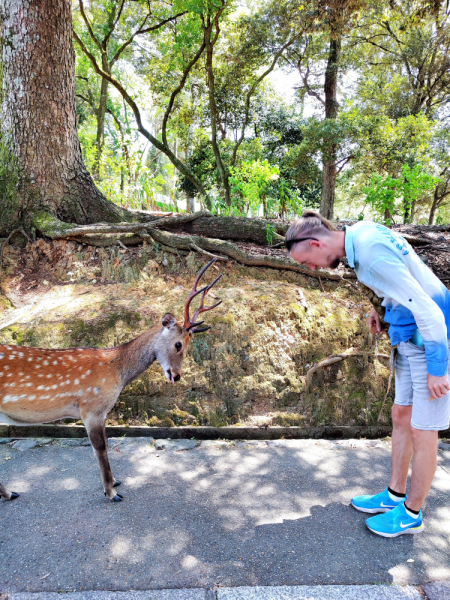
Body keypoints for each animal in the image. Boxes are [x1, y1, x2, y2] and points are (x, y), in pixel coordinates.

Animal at [0, 258, 222, 502]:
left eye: (188, 345)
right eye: (178, 344)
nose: (177, 375)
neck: (116, 371)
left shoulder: (103, 412)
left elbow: (106, 442)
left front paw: (115, 481)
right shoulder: (91, 408)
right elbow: (100, 447)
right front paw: (111, 492)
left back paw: (9, 493)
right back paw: (9, 492)